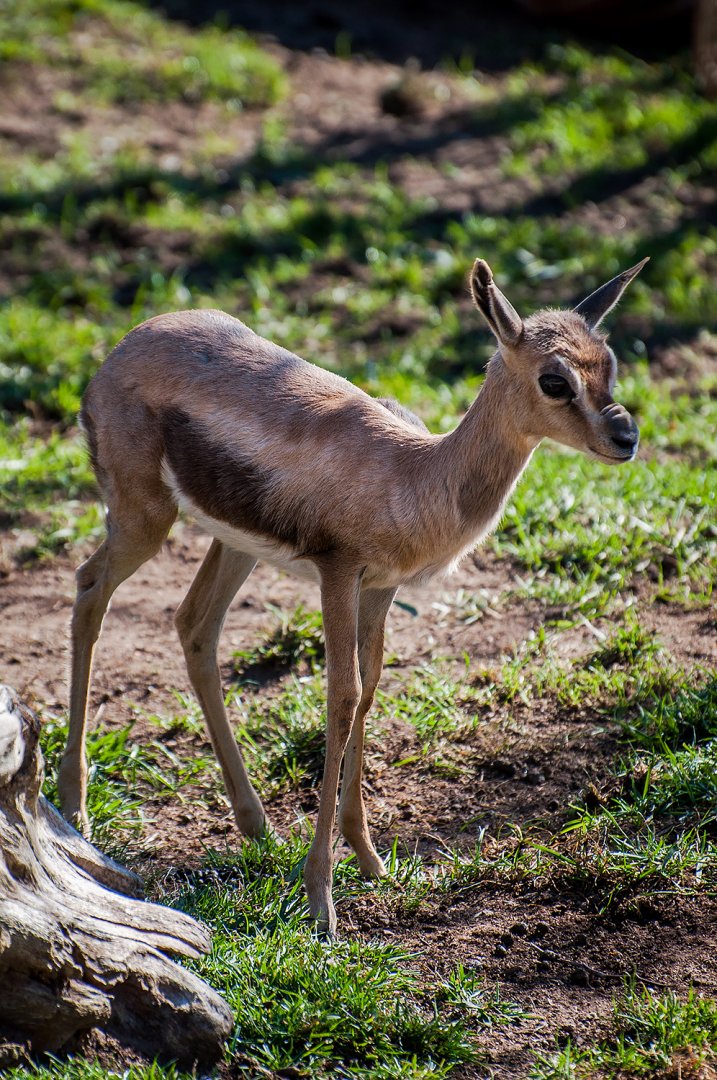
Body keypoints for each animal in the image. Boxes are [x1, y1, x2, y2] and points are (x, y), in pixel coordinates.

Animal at [58, 256, 646, 933]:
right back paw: (75, 808)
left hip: (234, 545)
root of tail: (120, 350)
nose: (625, 438)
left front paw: (370, 860)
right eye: (555, 380)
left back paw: (254, 824)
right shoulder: (337, 576)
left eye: (609, 363)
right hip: (143, 520)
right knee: (89, 589)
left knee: (194, 625)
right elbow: (340, 697)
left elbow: (368, 692)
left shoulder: (380, 589)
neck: (416, 474)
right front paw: (321, 900)